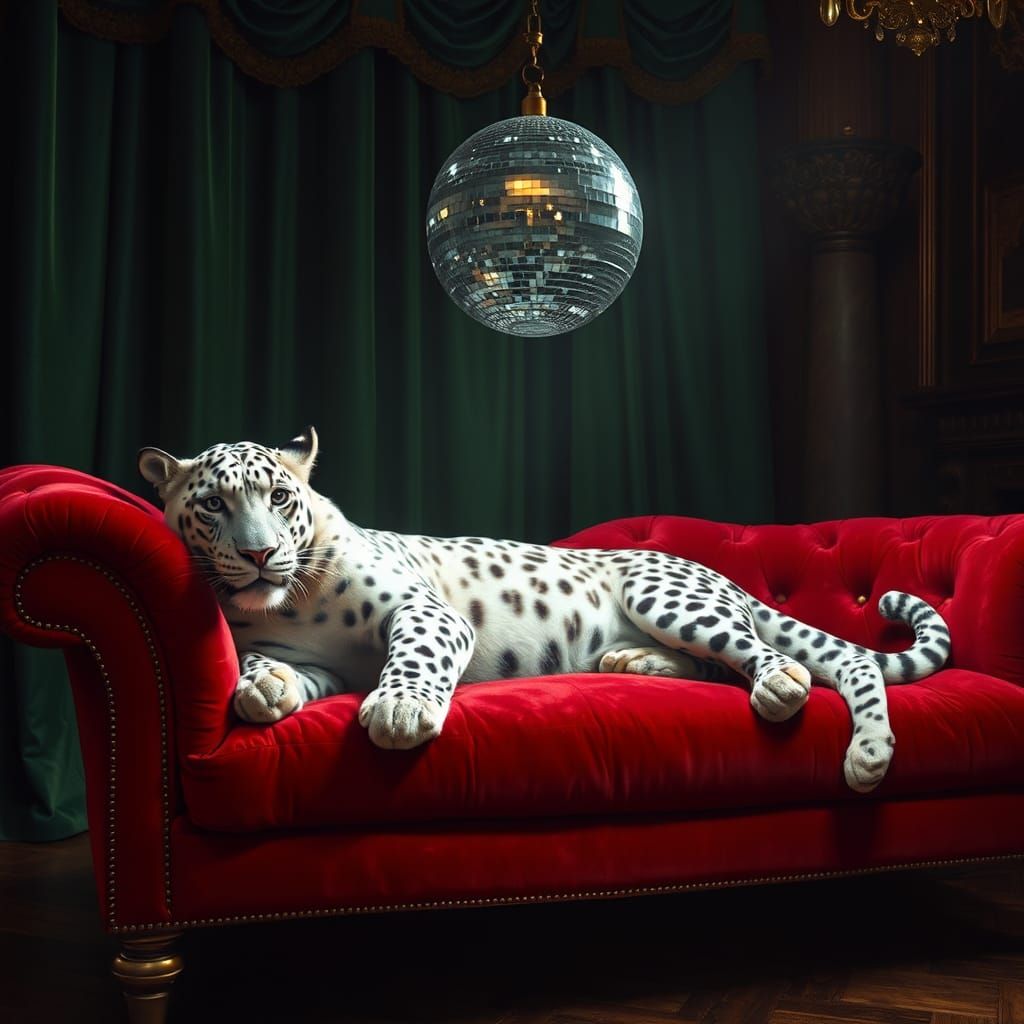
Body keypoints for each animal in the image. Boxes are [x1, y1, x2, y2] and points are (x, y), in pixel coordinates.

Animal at [138, 427, 952, 793]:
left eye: (279, 496)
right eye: (213, 507)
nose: (259, 555)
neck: (294, 600)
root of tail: (713, 570)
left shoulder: (426, 613)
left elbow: (412, 658)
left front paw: (400, 711)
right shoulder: (313, 661)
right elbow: (274, 673)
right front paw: (262, 687)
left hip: (667, 597)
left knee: (802, 661)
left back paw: (837, 733)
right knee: (728, 667)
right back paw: (635, 662)